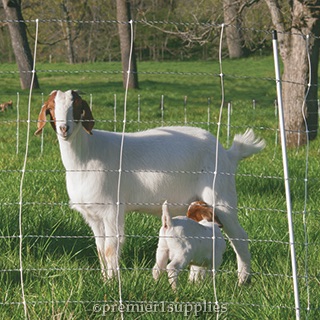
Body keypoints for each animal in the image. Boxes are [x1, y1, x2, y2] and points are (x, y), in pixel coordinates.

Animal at [34, 89, 264, 284]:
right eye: (51, 108)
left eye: (76, 107)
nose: (64, 128)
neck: (86, 155)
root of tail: (227, 154)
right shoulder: (92, 214)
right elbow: (100, 248)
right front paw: (105, 280)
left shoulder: (112, 209)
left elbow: (111, 247)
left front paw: (114, 283)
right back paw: (195, 280)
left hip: (220, 194)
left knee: (239, 236)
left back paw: (243, 280)